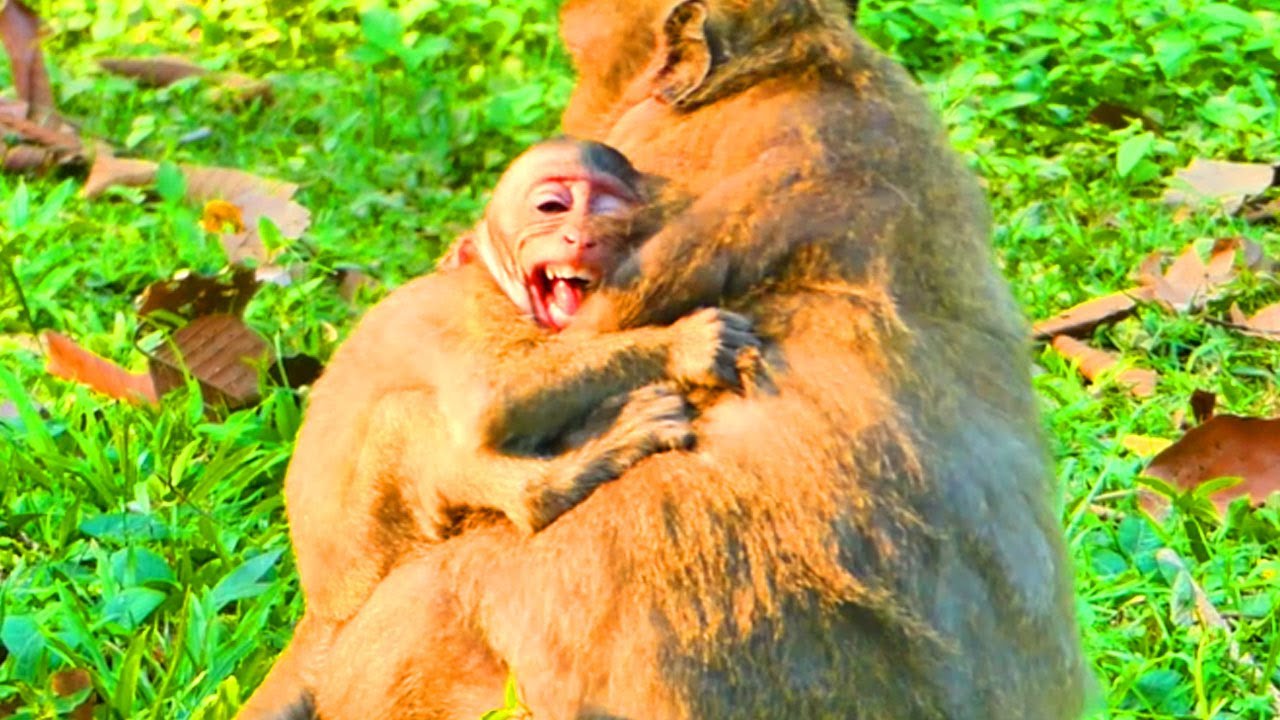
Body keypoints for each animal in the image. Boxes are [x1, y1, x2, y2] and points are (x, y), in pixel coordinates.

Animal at [234, 138, 760, 720]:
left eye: (605, 209)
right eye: (552, 207)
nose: (580, 236)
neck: (493, 278)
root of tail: (324, 609)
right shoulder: (471, 308)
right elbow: (494, 397)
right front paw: (681, 345)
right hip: (370, 552)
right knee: (407, 415)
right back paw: (557, 483)